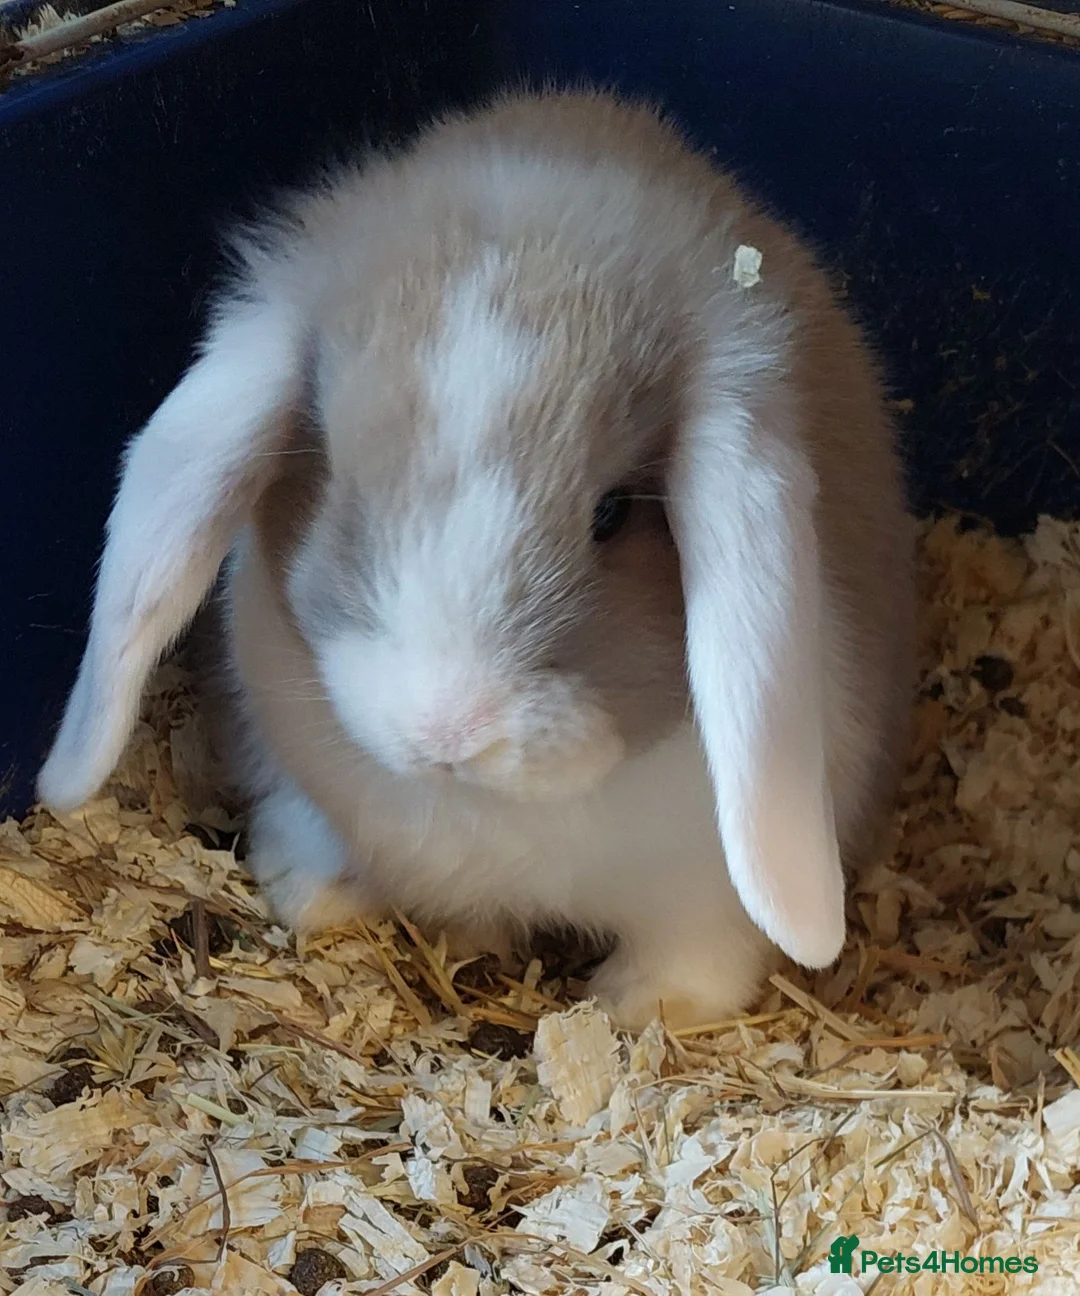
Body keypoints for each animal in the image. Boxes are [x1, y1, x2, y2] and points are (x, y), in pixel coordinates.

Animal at [37, 88, 915, 1030]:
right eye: (337, 475)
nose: (448, 732)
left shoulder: (701, 899)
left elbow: (697, 953)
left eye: (613, 514)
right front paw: (309, 893)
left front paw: (637, 1008)